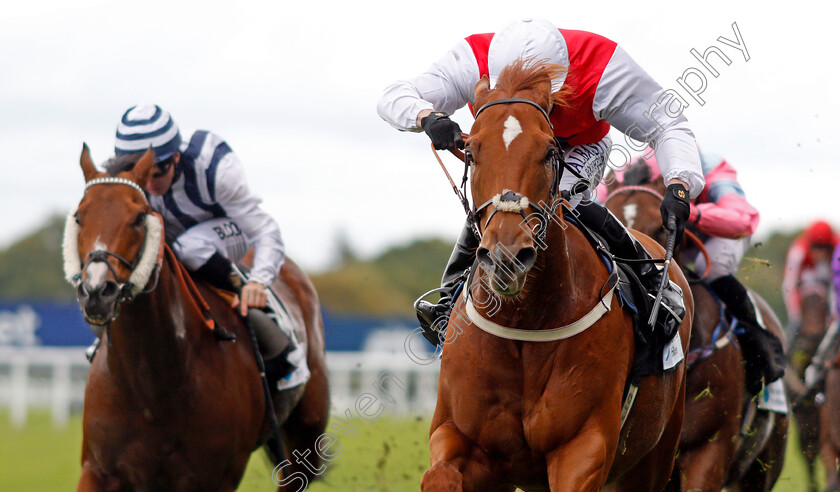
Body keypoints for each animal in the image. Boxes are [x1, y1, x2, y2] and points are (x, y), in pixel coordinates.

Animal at [67, 147, 330, 492]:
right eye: (79, 217)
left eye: (138, 217)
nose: (97, 290)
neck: (155, 388)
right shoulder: (100, 469)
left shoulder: (214, 478)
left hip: (307, 432)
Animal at [416, 60, 692, 492]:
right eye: (471, 152)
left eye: (549, 151)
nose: (507, 255)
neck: (524, 321)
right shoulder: (461, 438)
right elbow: (440, 476)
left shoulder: (584, 446)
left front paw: (676, 200)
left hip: (653, 457)